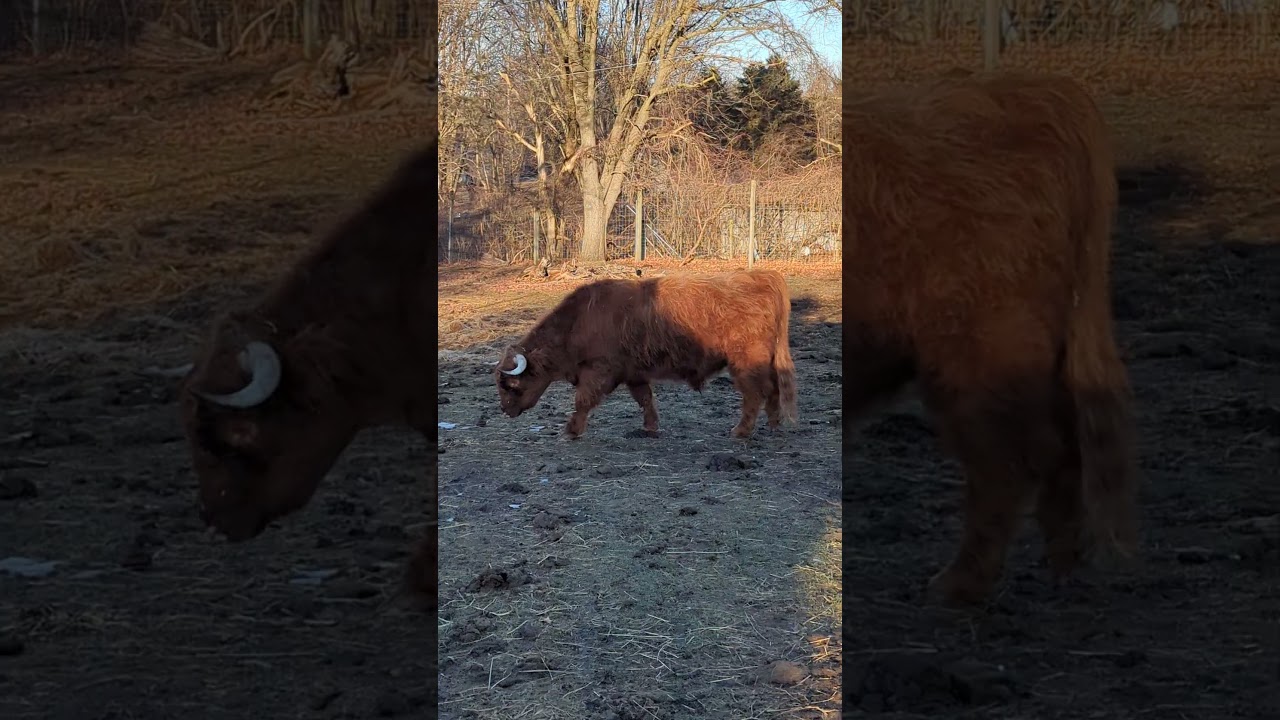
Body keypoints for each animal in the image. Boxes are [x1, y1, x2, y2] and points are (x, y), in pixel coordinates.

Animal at [494, 270, 798, 439]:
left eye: (511, 384)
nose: (505, 410)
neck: (577, 323)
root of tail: (763, 275)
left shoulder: (598, 370)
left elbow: (583, 401)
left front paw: (571, 431)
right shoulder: (633, 372)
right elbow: (645, 399)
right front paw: (651, 427)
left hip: (746, 361)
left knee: (754, 394)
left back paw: (741, 431)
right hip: (766, 359)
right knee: (772, 389)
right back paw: (774, 424)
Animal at [842, 72, 1139, 606]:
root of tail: (1035, 90)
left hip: (983, 350)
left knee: (1009, 461)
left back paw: (960, 582)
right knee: (1063, 443)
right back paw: (1063, 560)